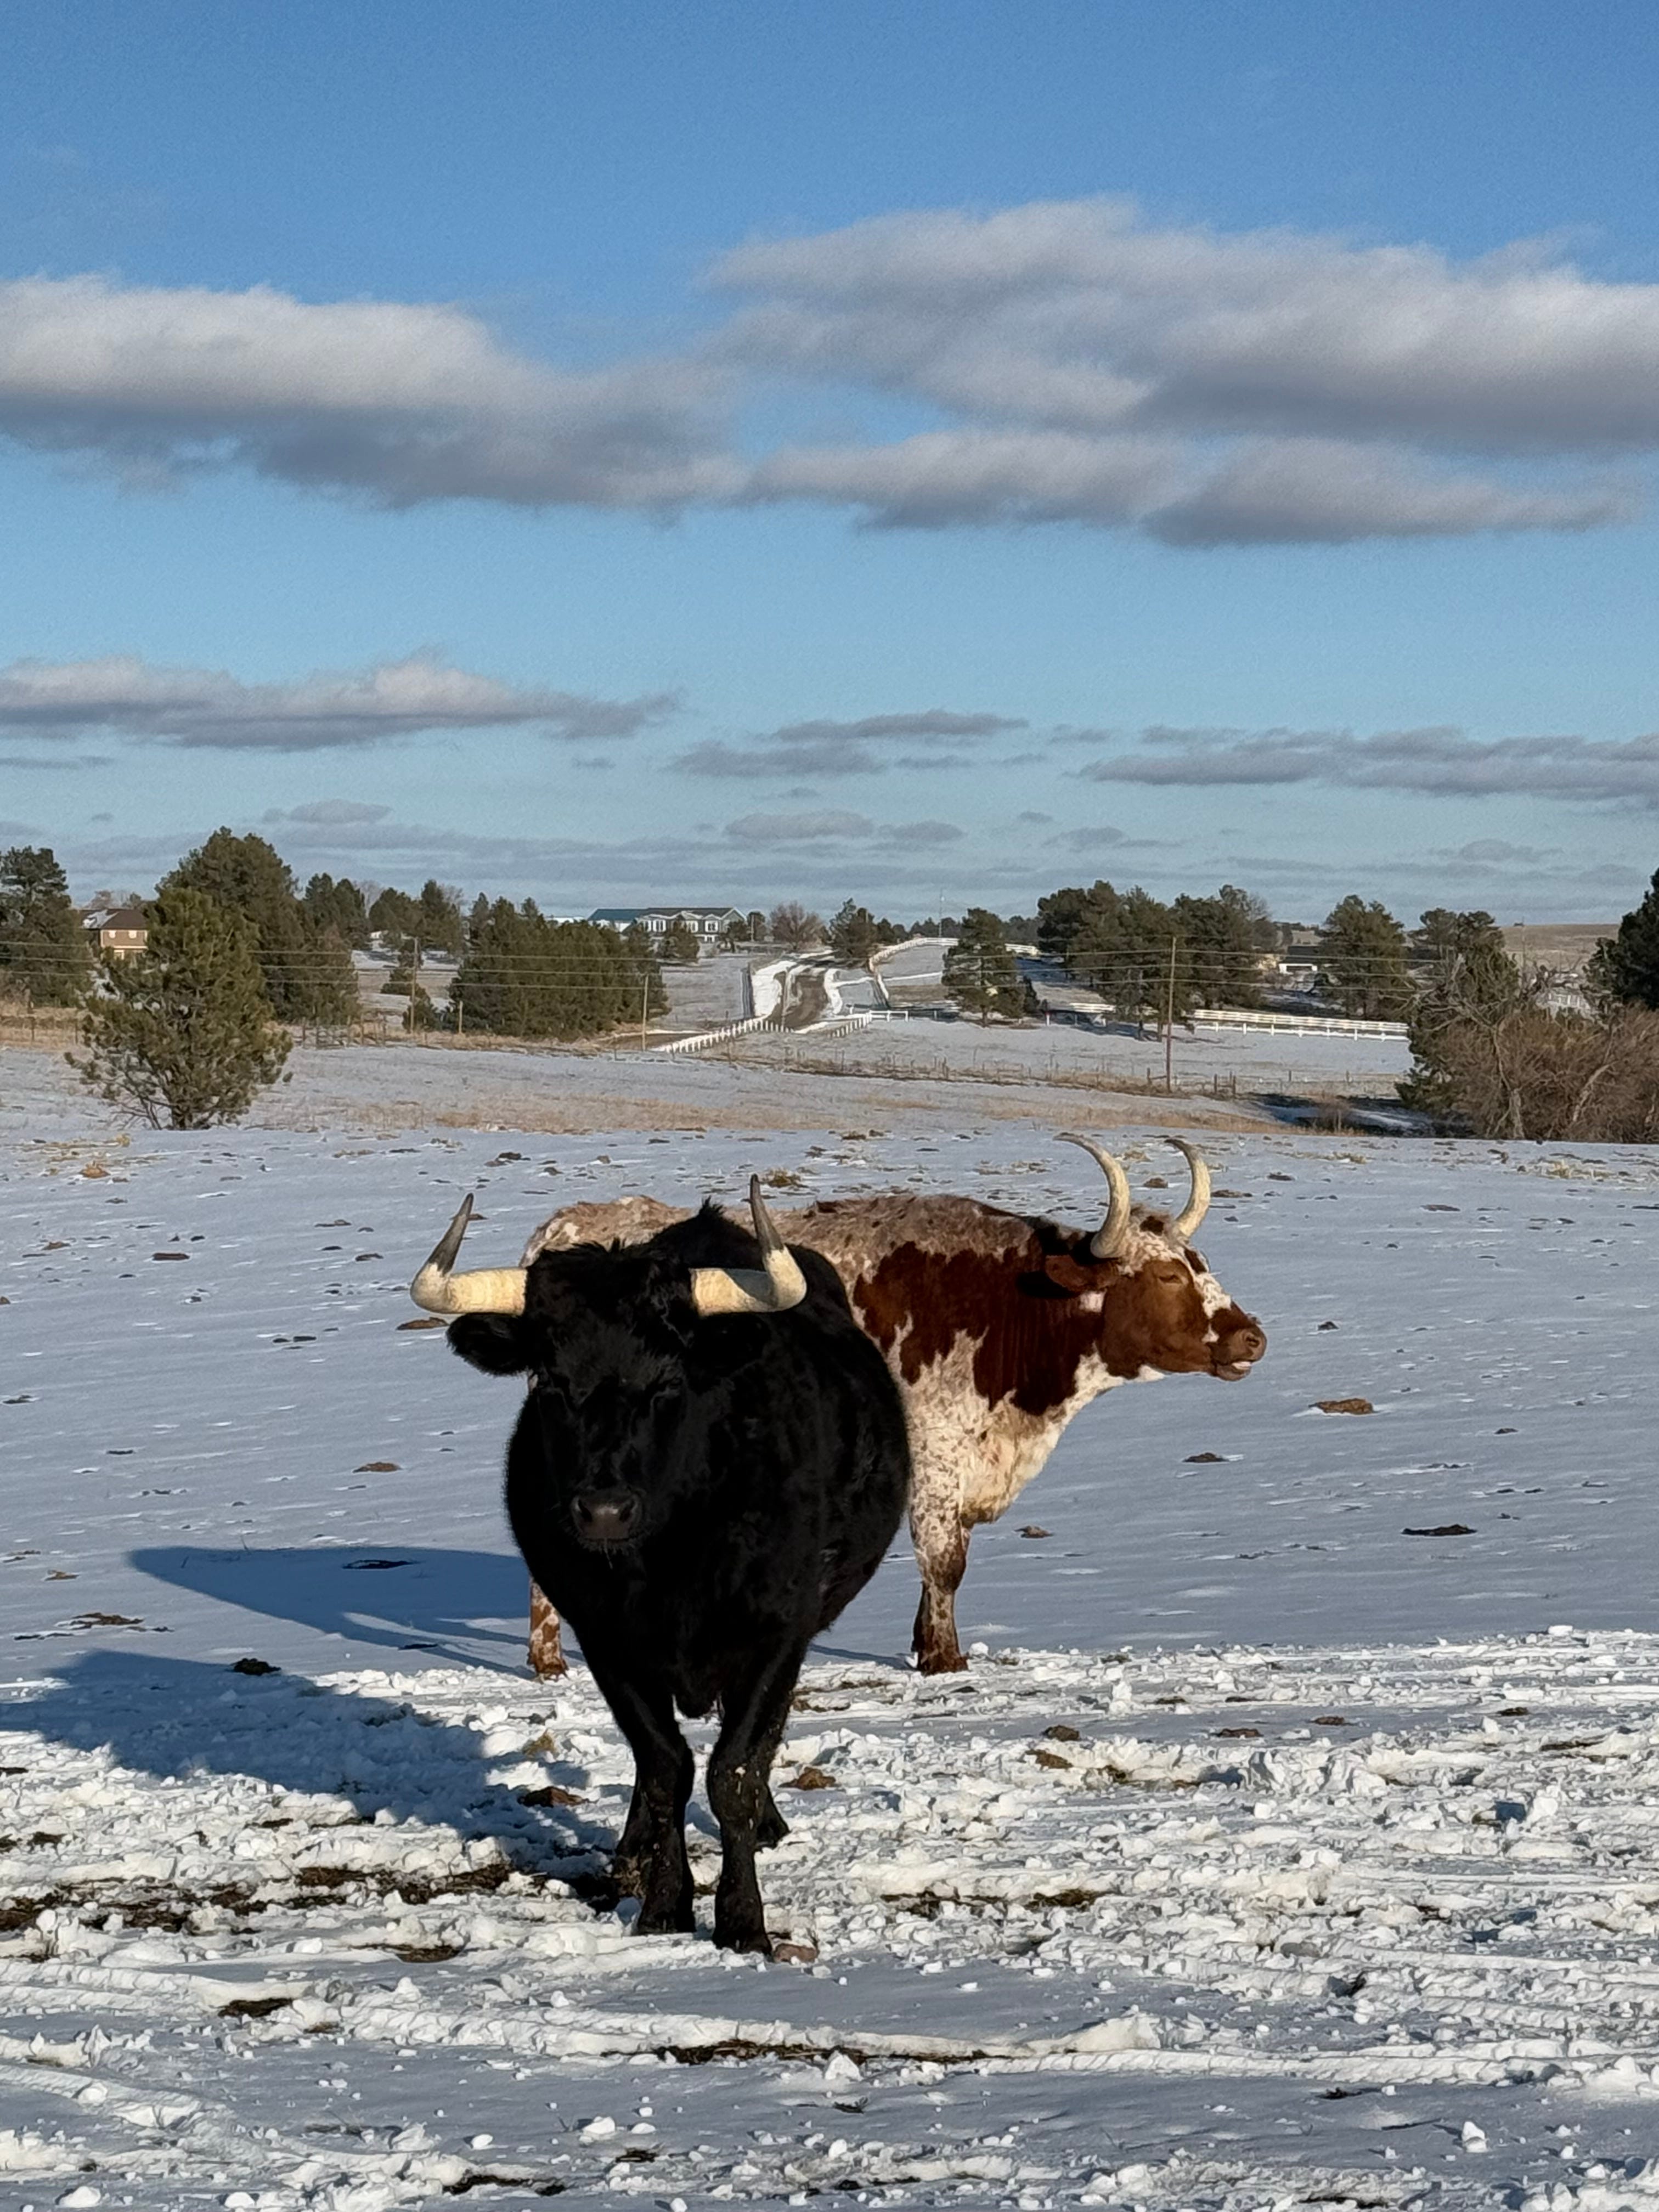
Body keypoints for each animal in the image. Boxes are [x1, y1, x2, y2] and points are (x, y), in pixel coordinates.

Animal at [409, 1178, 911, 1956]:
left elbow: (735, 1770)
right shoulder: (608, 1643)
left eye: (668, 1384)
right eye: (549, 1381)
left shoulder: (775, 1636)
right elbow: (665, 1767)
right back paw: (633, 1852)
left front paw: (742, 1921)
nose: (604, 1510)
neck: (670, 1562)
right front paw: (664, 1907)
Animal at [511, 1134, 1266, 1678]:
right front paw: (944, 1660)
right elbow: (945, 1560)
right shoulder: (935, 1455)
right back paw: (549, 1660)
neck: (1008, 1306)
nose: (1250, 1336)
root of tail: (562, 1230)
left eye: (1200, 1264)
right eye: (1165, 1275)